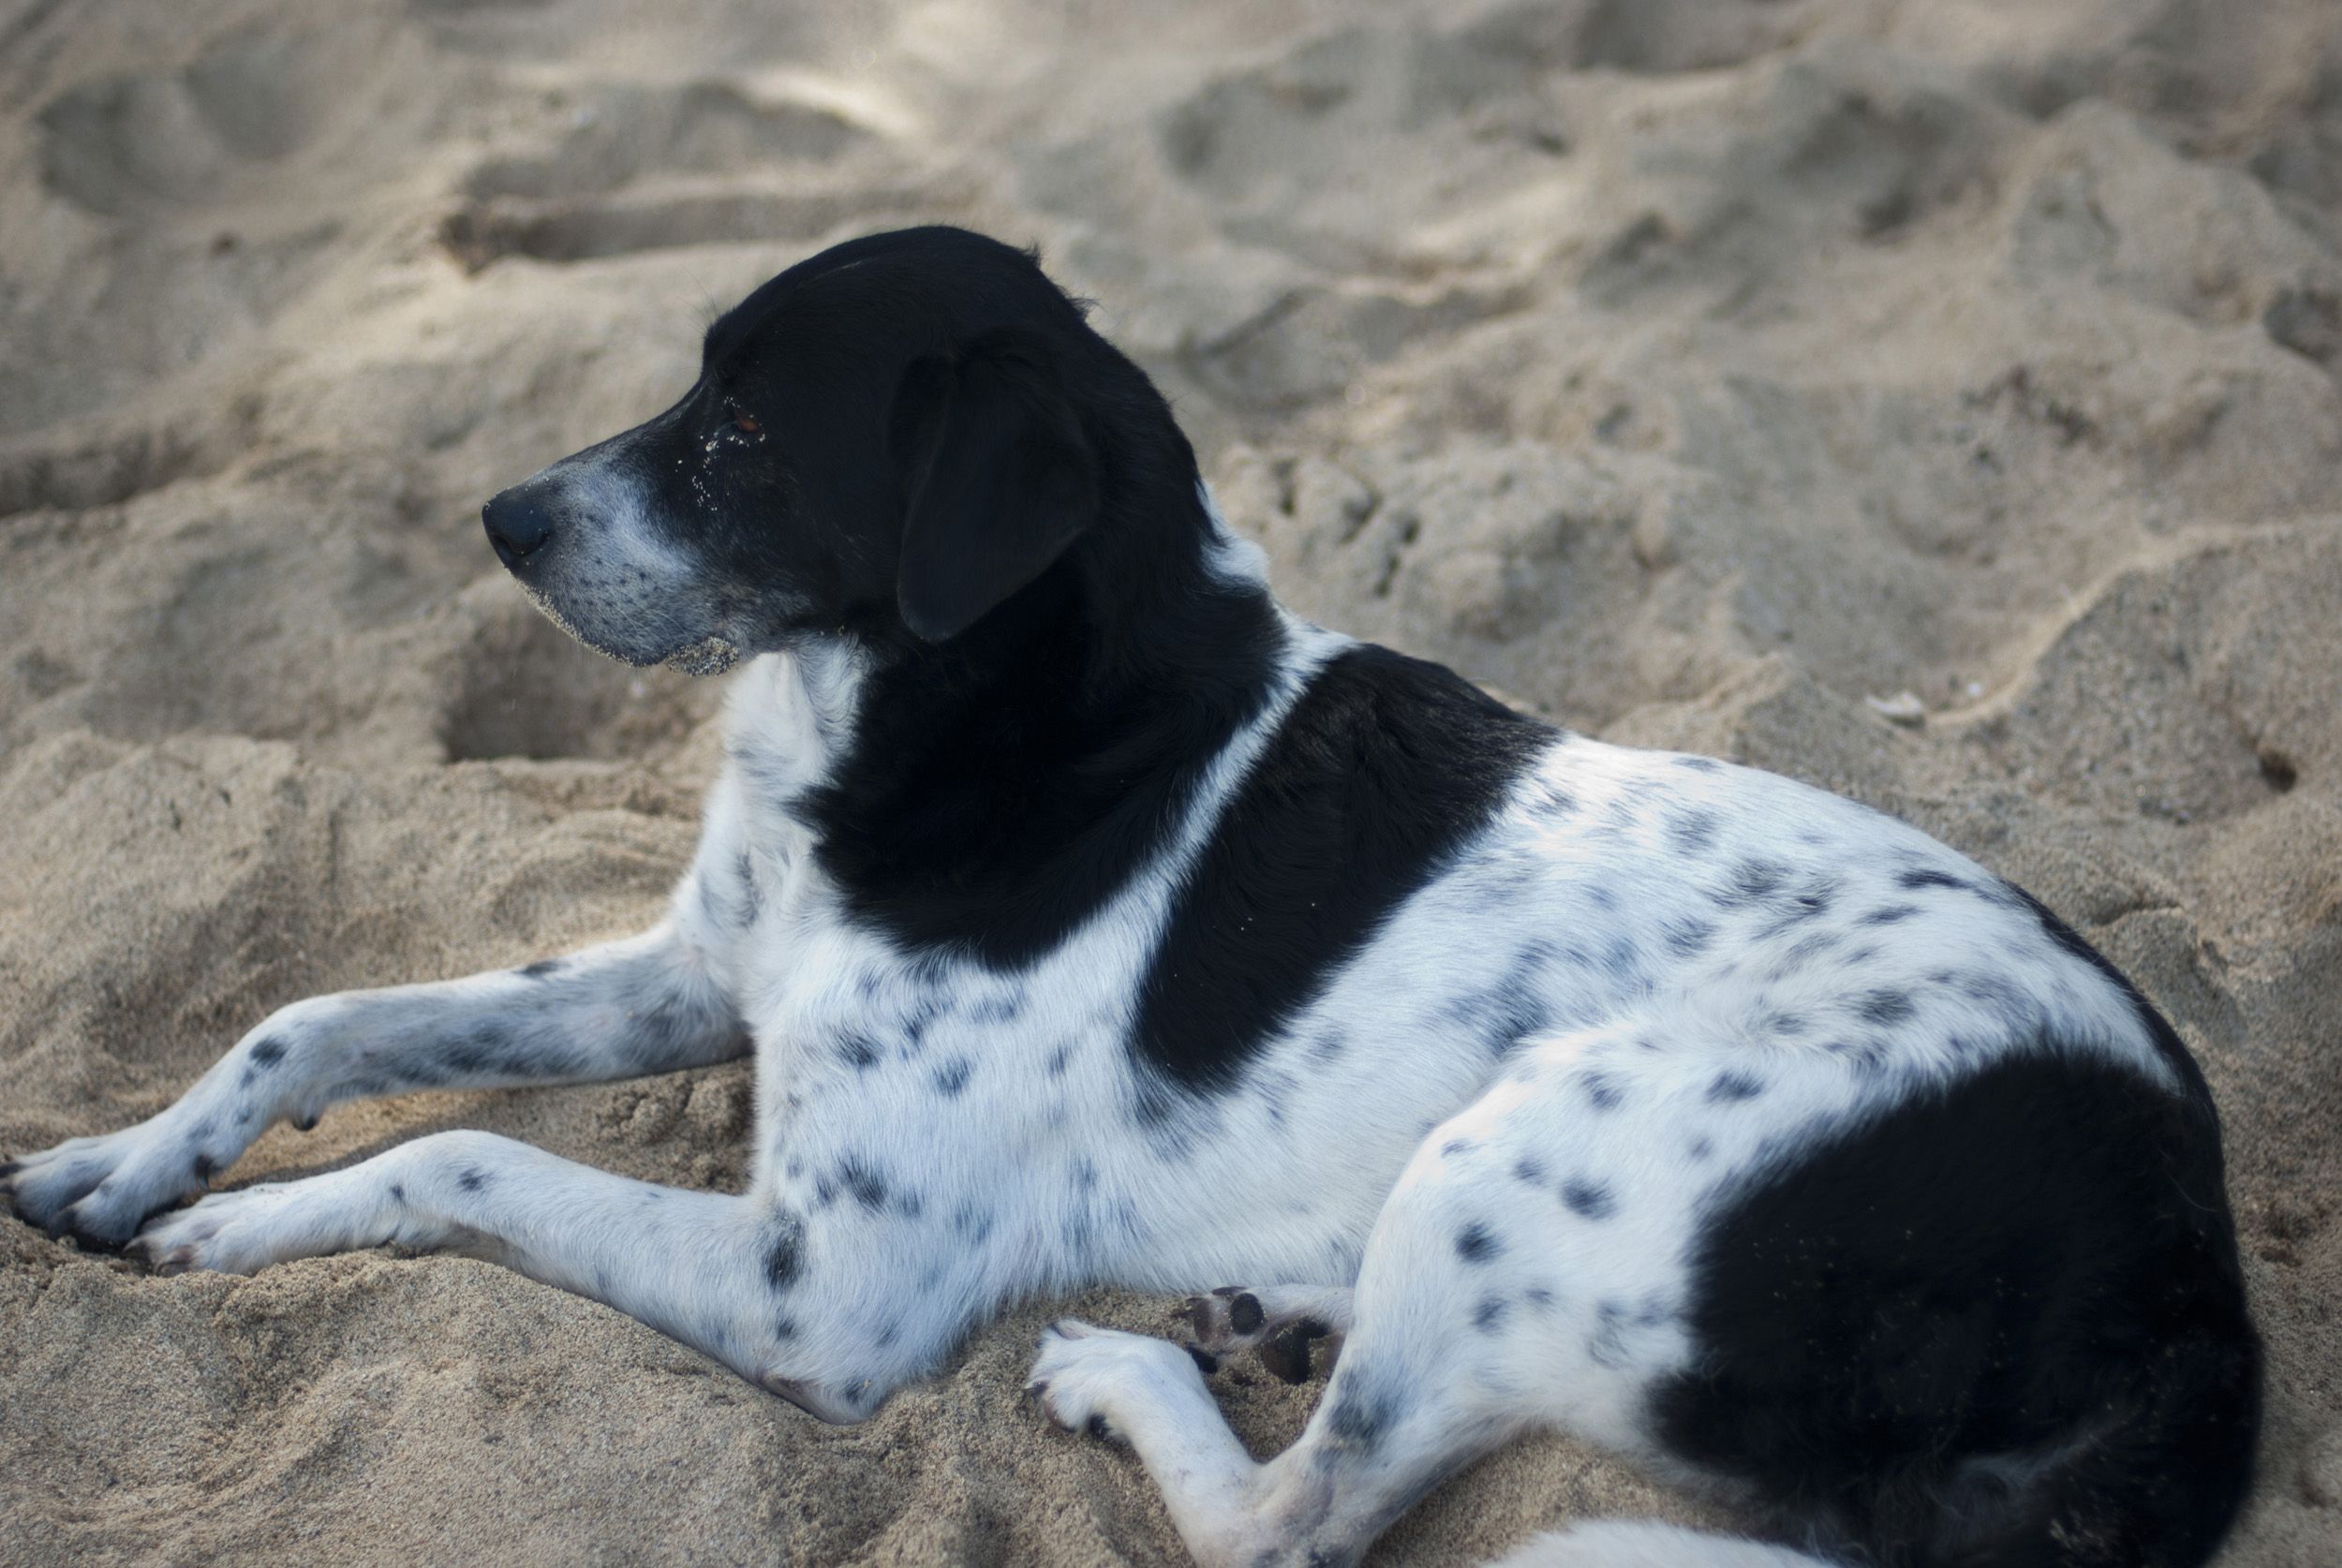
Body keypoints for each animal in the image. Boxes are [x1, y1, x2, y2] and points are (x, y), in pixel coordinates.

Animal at [4, 227, 2267, 1563]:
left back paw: (1137, 1372)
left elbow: (456, 1153)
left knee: (1302, 1521)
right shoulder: (692, 970)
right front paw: (125, 1160)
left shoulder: (824, 1294)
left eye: (743, 430)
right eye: (688, 385)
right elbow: (322, 1016)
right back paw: (1261, 1308)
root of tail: (2193, 1277)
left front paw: (237, 1229)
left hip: (1521, 1148)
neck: (954, 718)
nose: (496, 517)